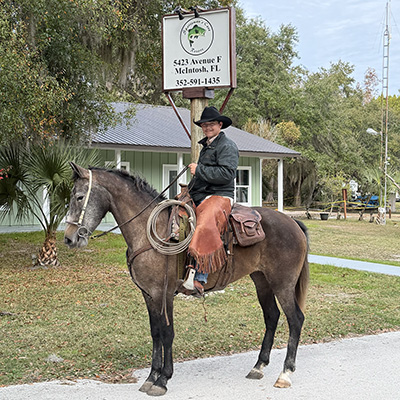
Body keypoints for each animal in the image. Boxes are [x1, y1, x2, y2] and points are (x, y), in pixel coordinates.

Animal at [64, 163, 309, 397]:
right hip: (262, 280)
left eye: (79, 197)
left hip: (283, 284)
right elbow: (155, 333)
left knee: (295, 319)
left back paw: (285, 373)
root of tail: (292, 222)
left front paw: (163, 379)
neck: (149, 232)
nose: (69, 238)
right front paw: (151, 376)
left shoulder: (163, 293)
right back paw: (258, 367)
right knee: (272, 316)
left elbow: (167, 333)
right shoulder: (148, 295)